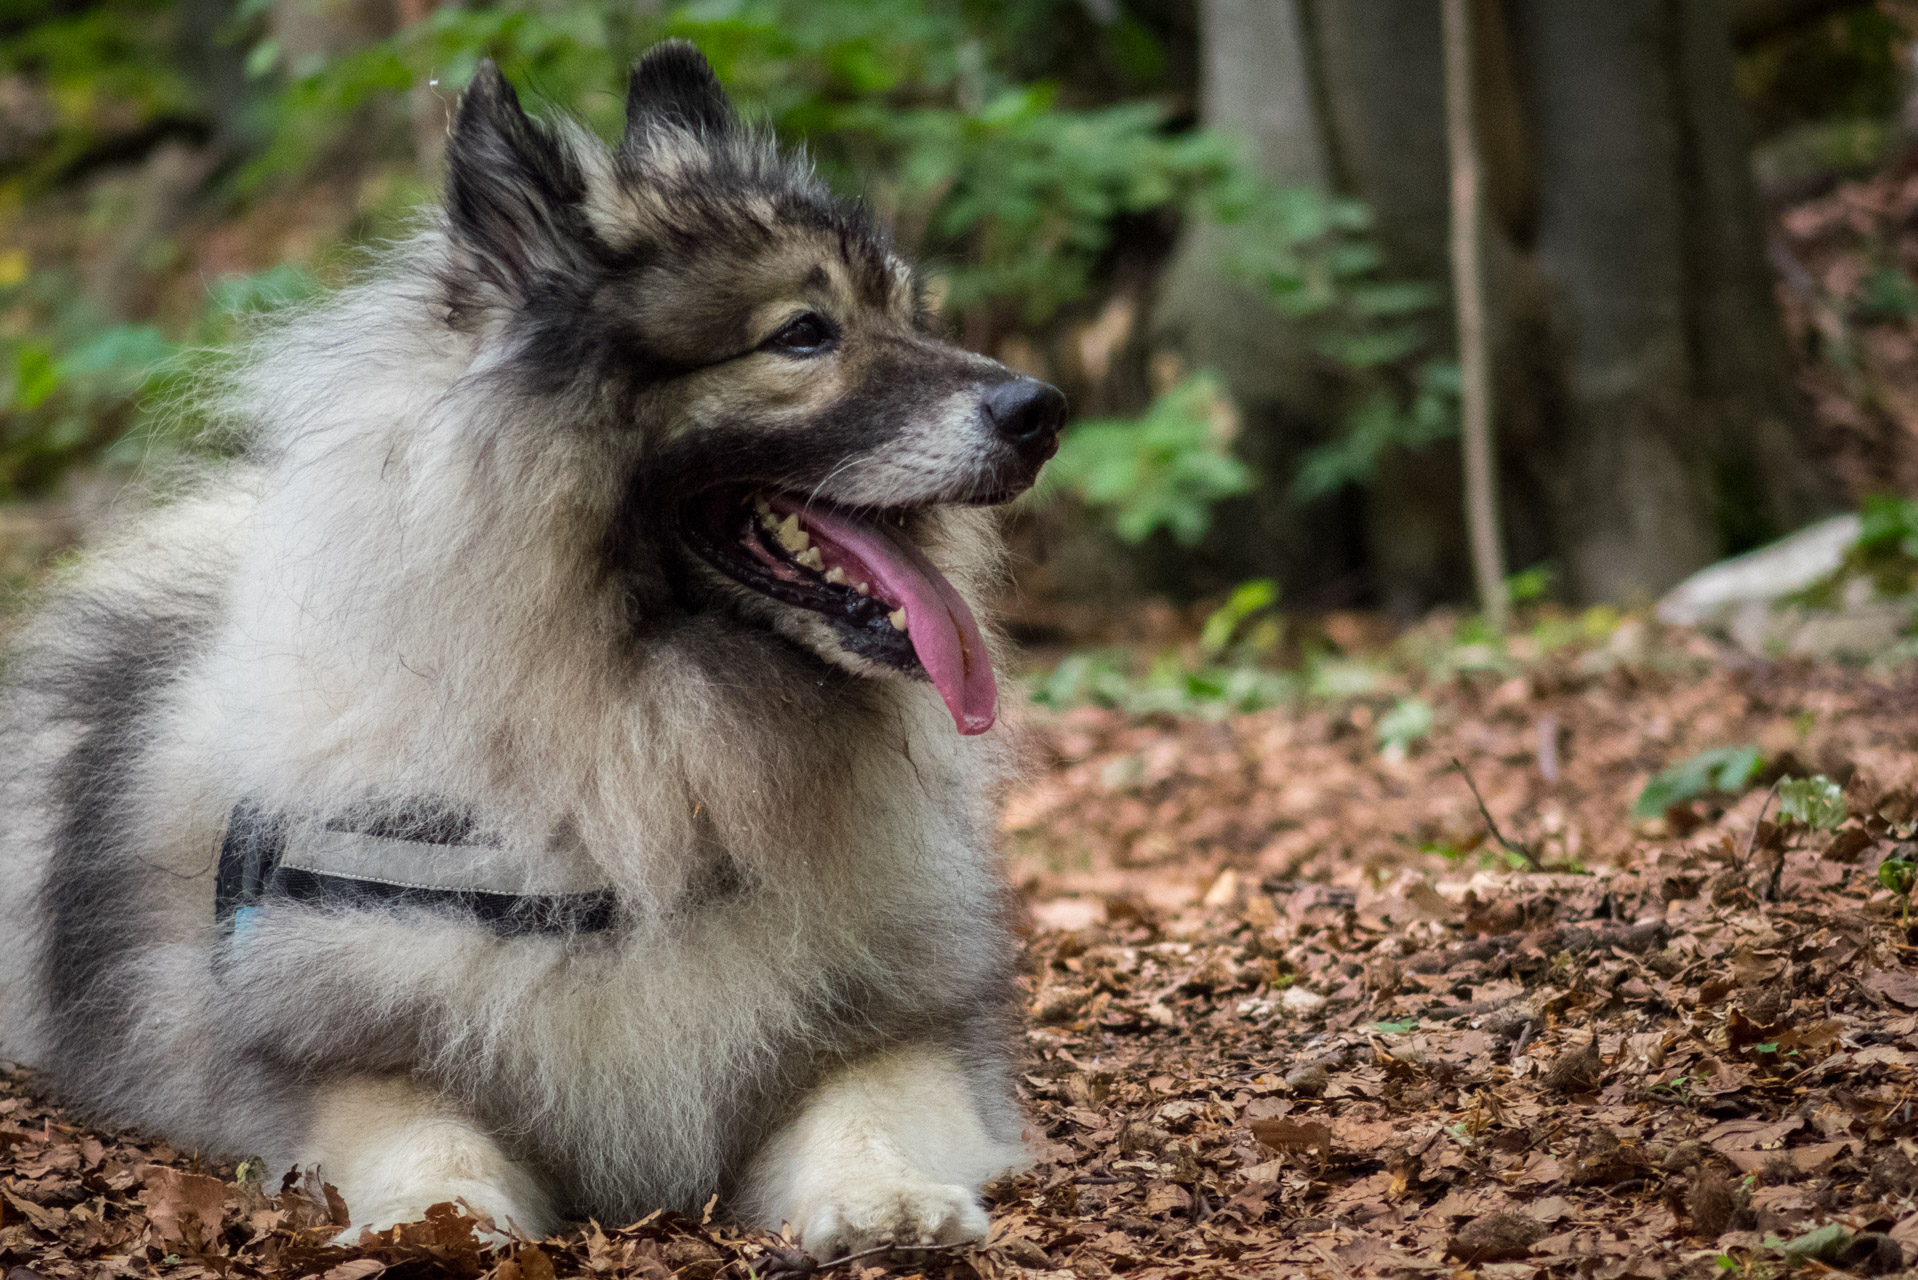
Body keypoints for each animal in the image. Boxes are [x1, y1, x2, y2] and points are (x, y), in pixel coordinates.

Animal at [0, 45, 1066, 1258]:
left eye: (907, 312)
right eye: (804, 333)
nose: (1043, 408)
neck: (645, 748)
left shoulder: (894, 1032)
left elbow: (867, 1110)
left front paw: (892, 1200)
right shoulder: (349, 1060)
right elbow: (428, 1136)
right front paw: (442, 1218)